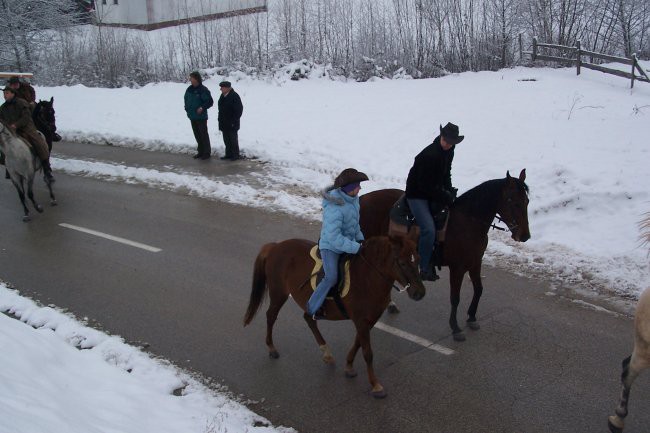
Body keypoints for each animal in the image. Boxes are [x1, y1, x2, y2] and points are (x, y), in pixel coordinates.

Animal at [243, 231, 426, 396]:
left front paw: (349, 366)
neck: (368, 277)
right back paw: (272, 348)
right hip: (279, 293)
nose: (420, 293)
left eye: (418, 259)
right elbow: (367, 352)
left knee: (308, 318)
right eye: (402, 263)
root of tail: (275, 246)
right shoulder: (361, 320)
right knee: (271, 316)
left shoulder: (369, 319)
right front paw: (375, 384)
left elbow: (358, 343)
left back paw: (326, 352)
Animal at [356, 169, 528, 340]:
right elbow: (455, 298)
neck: (467, 223)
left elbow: (479, 289)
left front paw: (472, 317)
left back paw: (390, 305)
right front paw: (455, 328)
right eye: (512, 200)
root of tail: (362, 199)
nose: (525, 235)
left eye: (526, 201)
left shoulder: (475, 262)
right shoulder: (457, 268)